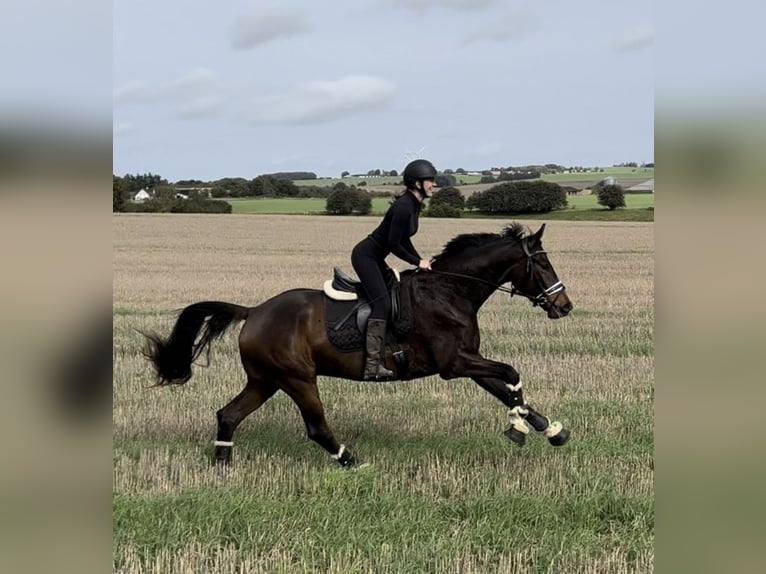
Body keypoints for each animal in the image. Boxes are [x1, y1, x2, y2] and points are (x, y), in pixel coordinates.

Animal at [146, 223, 576, 470]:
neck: (451, 290)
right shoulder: (455, 363)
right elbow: (510, 374)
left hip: (265, 380)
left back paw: (222, 464)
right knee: (316, 426)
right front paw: (521, 428)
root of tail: (253, 312)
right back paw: (350, 460)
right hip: (297, 378)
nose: (565, 306)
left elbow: (505, 388)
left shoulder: (466, 361)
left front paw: (546, 428)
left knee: (229, 414)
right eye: (542, 264)